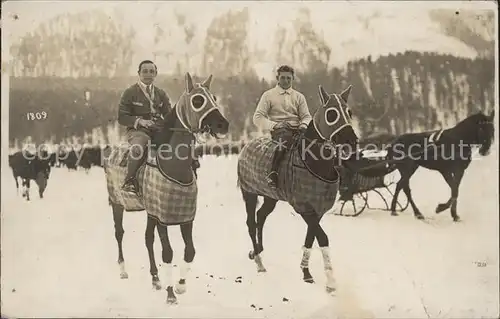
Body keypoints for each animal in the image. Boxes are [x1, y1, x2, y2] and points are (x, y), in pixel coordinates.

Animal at [102, 72, 230, 304]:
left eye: (214, 97)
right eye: (198, 100)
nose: (222, 125)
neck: (173, 165)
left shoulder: (184, 217)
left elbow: (189, 251)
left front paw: (180, 285)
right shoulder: (162, 216)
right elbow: (168, 253)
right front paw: (171, 294)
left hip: (149, 212)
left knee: (147, 239)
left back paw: (155, 278)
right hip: (117, 203)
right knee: (119, 233)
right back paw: (123, 270)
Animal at [236, 85, 358, 296]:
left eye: (349, 112)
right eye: (331, 114)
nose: (350, 141)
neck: (315, 162)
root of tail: (247, 145)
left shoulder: (317, 209)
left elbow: (310, 238)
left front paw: (306, 272)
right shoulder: (303, 207)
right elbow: (322, 237)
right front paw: (330, 281)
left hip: (271, 197)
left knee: (261, 216)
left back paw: (258, 250)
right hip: (249, 193)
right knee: (251, 222)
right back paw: (258, 260)